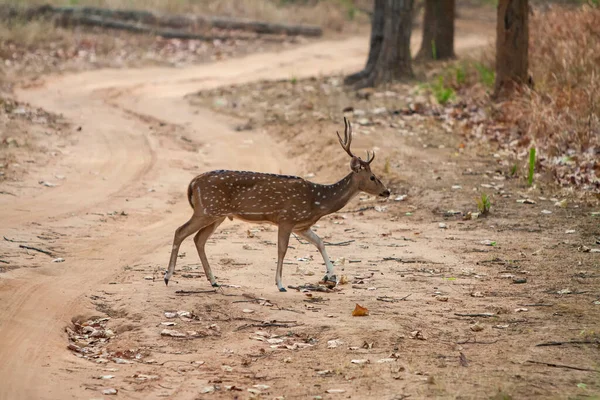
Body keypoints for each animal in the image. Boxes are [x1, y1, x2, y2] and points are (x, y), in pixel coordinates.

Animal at [165, 117, 390, 292]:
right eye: (372, 177)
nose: (387, 191)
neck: (317, 202)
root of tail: (192, 183)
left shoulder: (301, 225)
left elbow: (320, 242)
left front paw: (331, 277)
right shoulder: (287, 218)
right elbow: (282, 249)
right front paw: (281, 284)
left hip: (216, 214)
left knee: (198, 239)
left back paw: (213, 281)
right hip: (206, 209)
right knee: (180, 231)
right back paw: (168, 276)